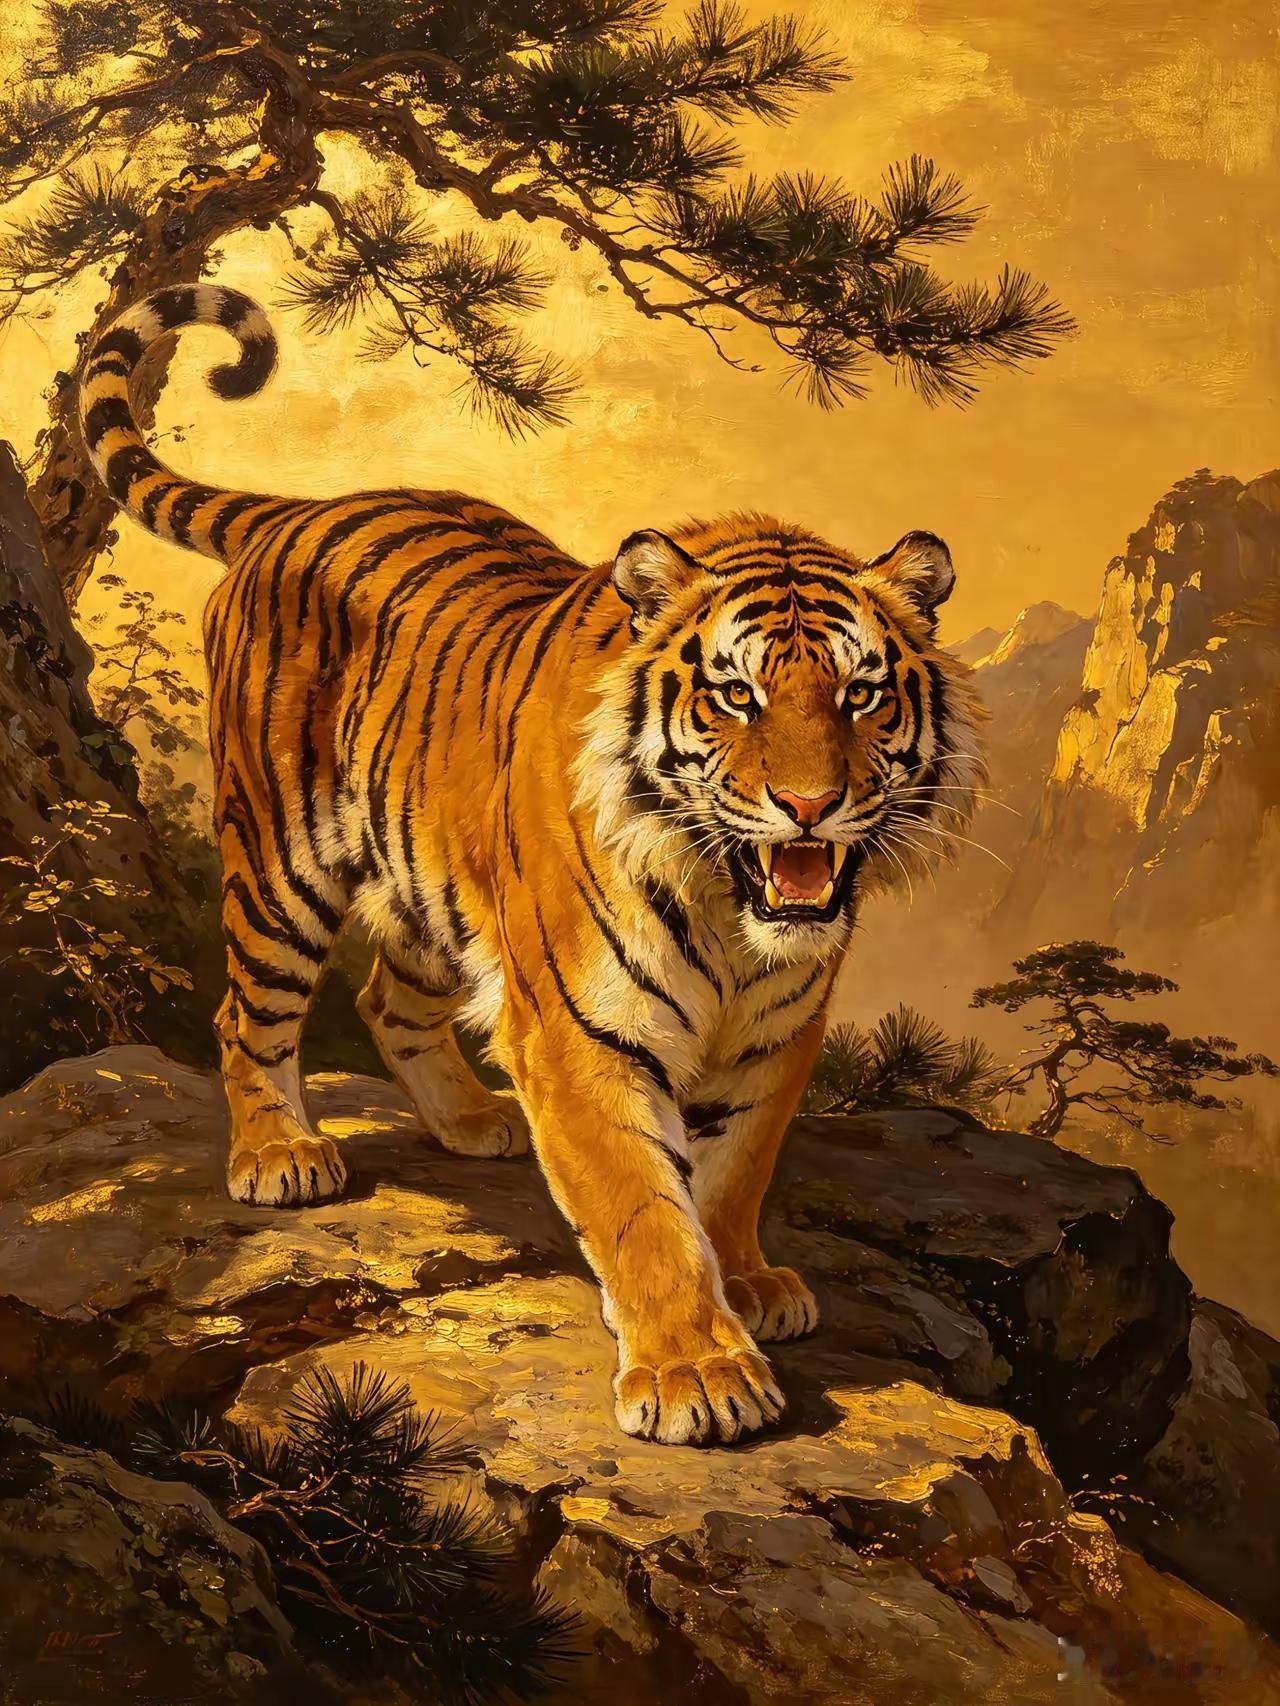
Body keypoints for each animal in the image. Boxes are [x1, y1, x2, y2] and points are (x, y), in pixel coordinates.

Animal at [79, 283, 984, 1448]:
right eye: (734, 695)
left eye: (860, 693)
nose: (809, 805)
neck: (732, 914)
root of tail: (300, 509)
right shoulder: (578, 1031)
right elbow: (642, 1203)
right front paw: (695, 1371)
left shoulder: (778, 1032)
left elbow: (734, 1171)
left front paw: (747, 1282)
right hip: (281, 863)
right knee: (248, 1012)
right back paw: (280, 1155)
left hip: (430, 883)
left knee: (386, 1001)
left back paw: (472, 1122)